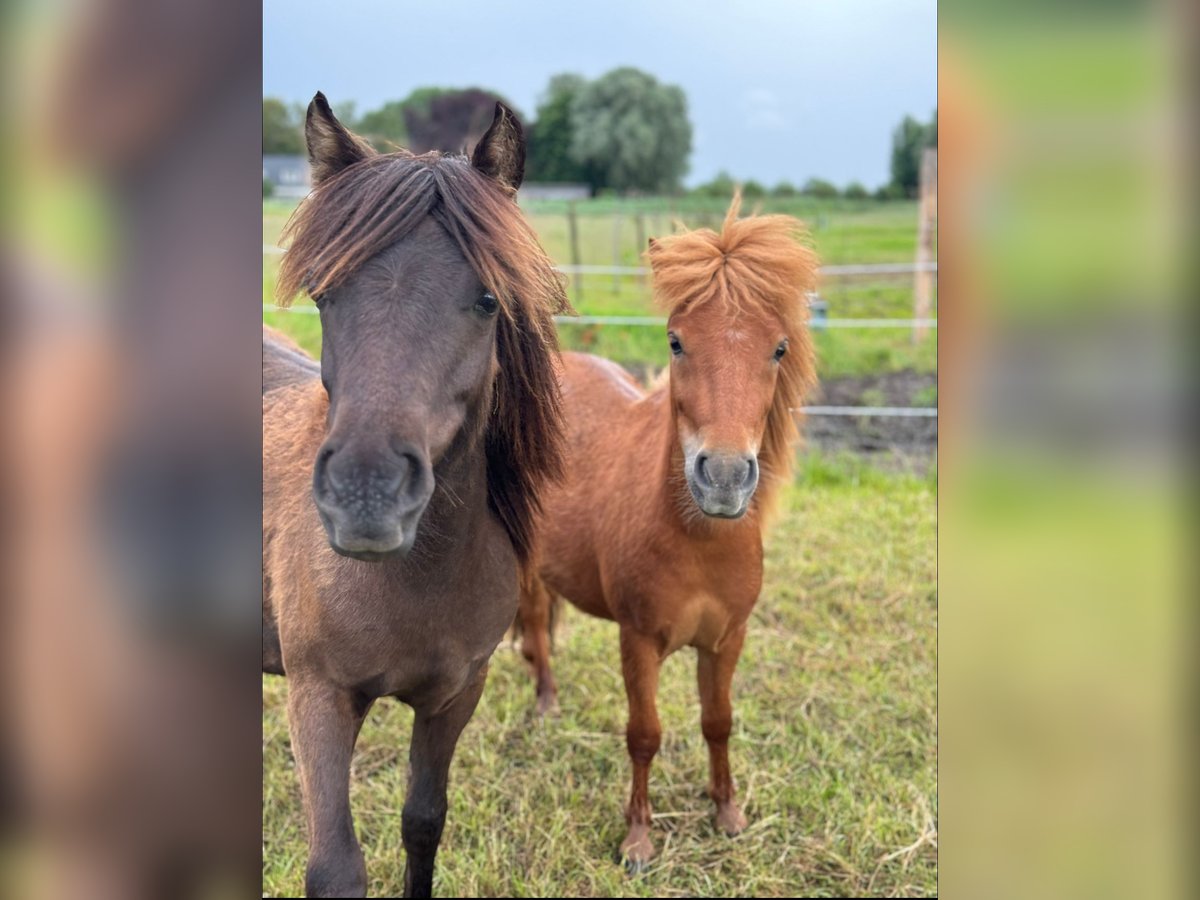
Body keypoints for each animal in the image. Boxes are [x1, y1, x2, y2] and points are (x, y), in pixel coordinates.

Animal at [265, 95, 564, 897]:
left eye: (488, 299)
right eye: (324, 294)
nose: (365, 496)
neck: (416, 580)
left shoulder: (456, 695)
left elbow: (424, 822)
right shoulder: (319, 698)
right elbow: (335, 868)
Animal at [516, 195, 816, 873]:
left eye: (779, 349)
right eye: (676, 341)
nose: (724, 476)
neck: (695, 541)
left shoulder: (727, 640)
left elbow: (718, 722)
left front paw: (727, 813)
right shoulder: (638, 640)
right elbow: (644, 735)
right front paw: (637, 839)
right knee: (535, 621)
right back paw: (545, 702)